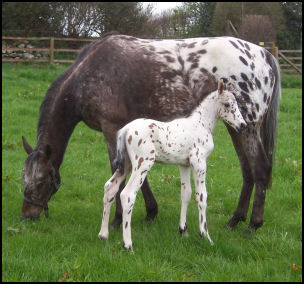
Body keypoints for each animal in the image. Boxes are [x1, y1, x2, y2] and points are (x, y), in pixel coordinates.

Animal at [99, 80, 247, 251]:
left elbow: (186, 193)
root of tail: (125, 130)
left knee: (110, 187)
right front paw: (205, 235)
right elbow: (202, 196)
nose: (243, 125)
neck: (201, 124)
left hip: (127, 165)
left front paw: (183, 230)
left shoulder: (184, 165)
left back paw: (103, 235)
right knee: (127, 194)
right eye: (228, 104)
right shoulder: (199, 163)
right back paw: (128, 244)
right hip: (142, 164)